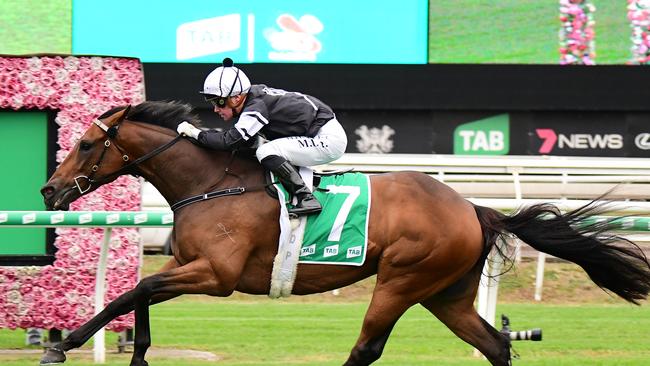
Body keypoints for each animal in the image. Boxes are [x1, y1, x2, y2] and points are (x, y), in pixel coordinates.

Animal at [39, 101, 648, 366]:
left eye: (86, 145)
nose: (49, 191)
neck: (212, 182)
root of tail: (474, 208)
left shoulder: (216, 274)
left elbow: (134, 291)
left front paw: (66, 346)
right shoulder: (186, 266)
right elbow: (134, 295)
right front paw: (121, 351)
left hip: (403, 279)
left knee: (367, 347)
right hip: (446, 293)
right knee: (495, 344)